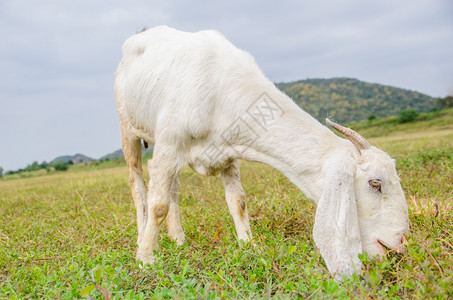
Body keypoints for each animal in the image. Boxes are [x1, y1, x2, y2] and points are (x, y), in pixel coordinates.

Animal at [114, 25, 410, 278]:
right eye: (375, 183)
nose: (400, 242)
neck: (221, 88)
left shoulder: (226, 152)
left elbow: (238, 202)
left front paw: (248, 246)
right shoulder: (169, 145)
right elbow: (158, 206)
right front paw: (145, 260)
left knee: (172, 187)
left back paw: (178, 240)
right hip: (128, 128)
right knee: (138, 183)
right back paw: (143, 238)